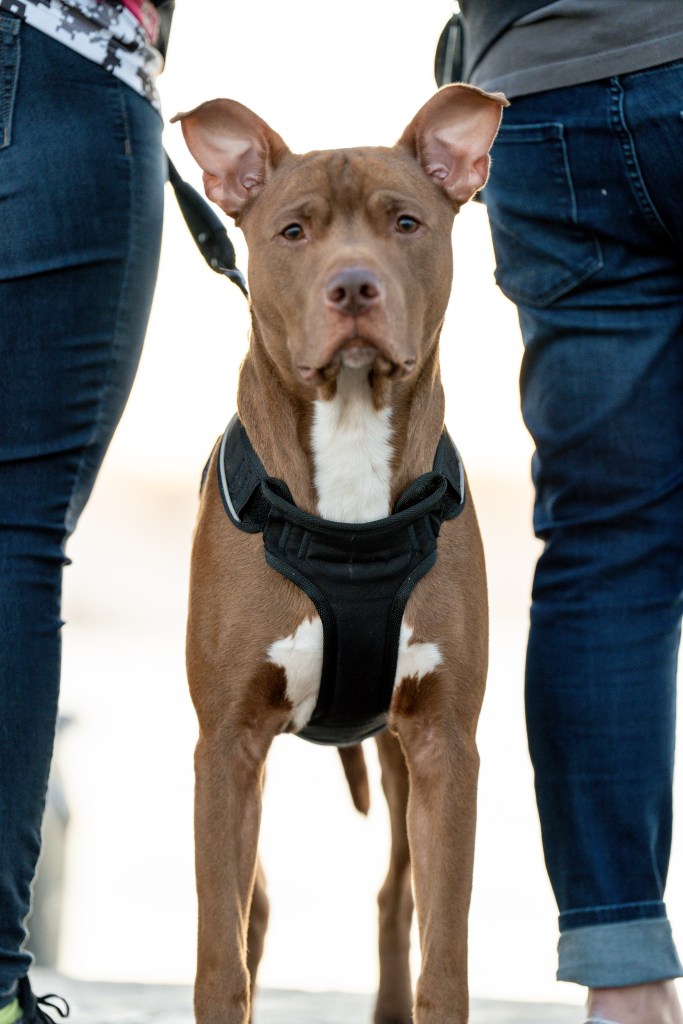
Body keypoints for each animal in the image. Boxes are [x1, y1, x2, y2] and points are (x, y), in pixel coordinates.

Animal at [175, 83, 506, 1024]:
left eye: (405, 222)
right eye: (293, 231)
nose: (353, 285)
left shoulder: (443, 745)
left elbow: (446, 955)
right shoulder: (227, 745)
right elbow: (221, 958)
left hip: (395, 761)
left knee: (397, 893)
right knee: (254, 904)